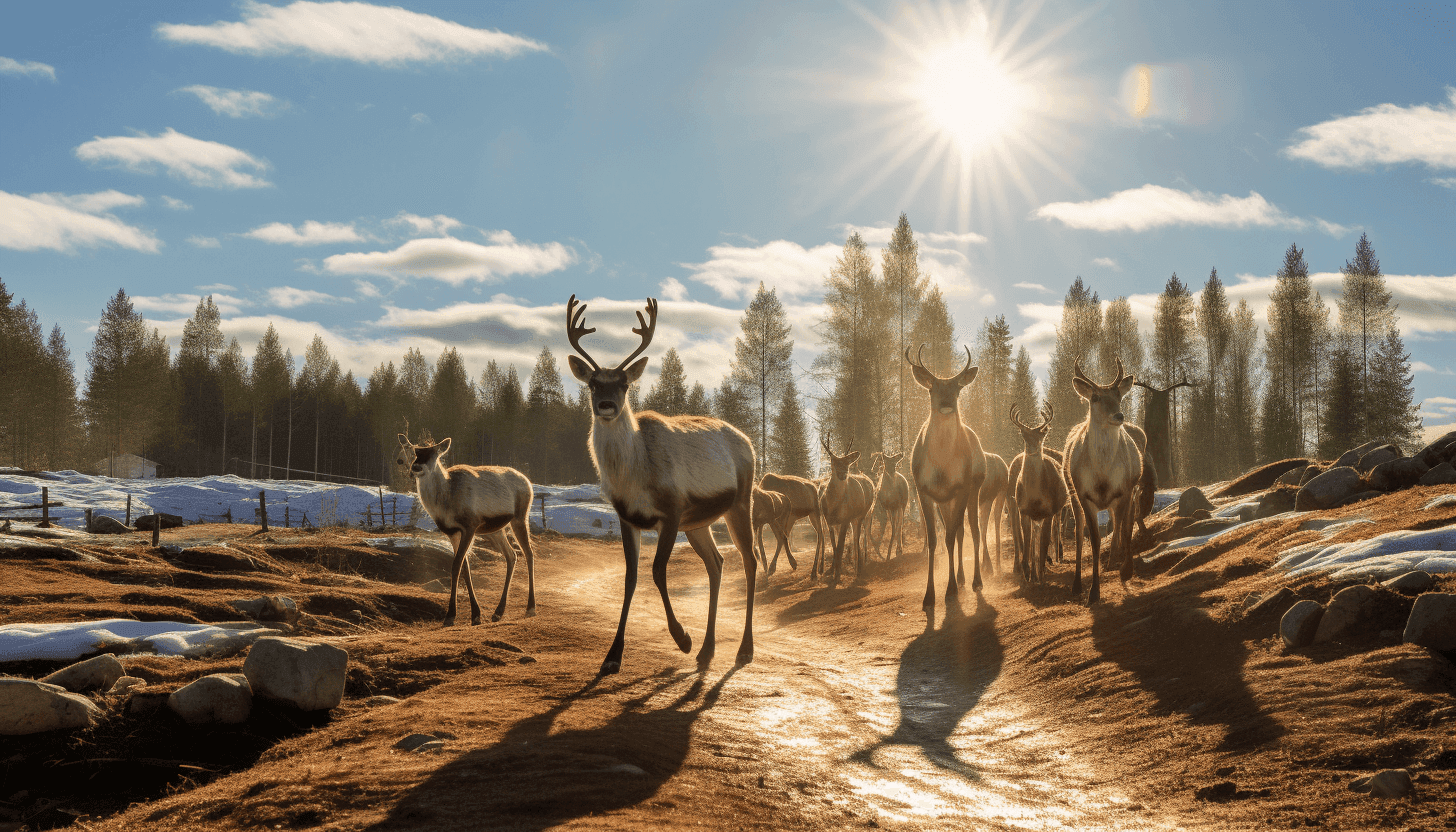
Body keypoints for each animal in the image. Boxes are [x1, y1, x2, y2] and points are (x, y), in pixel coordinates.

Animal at [396, 434, 536, 626]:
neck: (445, 502)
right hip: (496, 530)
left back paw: (530, 607)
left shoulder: (470, 526)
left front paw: (451, 615)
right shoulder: (452, 532)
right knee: (512, 555)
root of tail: (528, 482)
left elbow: (456, 565)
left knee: (528, 553)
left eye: (434, 453)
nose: (416, 467)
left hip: (520, 517)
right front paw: (475, 614)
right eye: (414, 451)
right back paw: (498, 611)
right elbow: (464, 568)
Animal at [565, 295, 758, 675]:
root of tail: (749, 443)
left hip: (740, 502)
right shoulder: (627, 517)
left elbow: (656, 571)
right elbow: (631, 578)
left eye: (624, 384)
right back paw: (707, 651)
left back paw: (743, 650)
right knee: (717, 564)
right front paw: (612, 656)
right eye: (593, 383)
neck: (633, 476)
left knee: (750, 561)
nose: (606, 406)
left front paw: (682, 638)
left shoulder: (672, 511)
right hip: (699, 523)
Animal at [906, 344, 987, 609]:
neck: (942, 468)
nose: (946, 403)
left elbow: (950, 538)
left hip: (974, 488)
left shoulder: (961, 488)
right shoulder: (924, 490)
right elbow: (934, 540)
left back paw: (975, 581)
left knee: (972, 531)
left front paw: (949, 590)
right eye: (932, 388)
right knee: (959, 531)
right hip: (945, 502)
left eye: (958, 389)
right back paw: (961, 578)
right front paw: (929, 596)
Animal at [1007, 403, 1068, 584]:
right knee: (1033, 536)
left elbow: (1044, 542)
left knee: (1050, 532)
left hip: (1056, 510)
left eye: (1041, 434)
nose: (1032, 448)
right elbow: (1028, 541)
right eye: (1023, 434)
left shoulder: (1049, 511)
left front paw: (1040, 573)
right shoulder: (1024, 510)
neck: (1036, 497)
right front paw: (1027, 572)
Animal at [1063, 358, 1143, 604]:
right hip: (1072, 496)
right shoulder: (1084, 494)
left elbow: (1123, 529)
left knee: (1123, 523)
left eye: (1119, 395)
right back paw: (1077, 584)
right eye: (1095, 397)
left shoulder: (1125, 490)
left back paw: (1114, 563)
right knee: (1079, 534)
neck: (1102, 475)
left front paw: (1125, 570)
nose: (1119, 416)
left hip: (1131, 492)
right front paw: (1093, 592)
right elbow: (1095, 540)